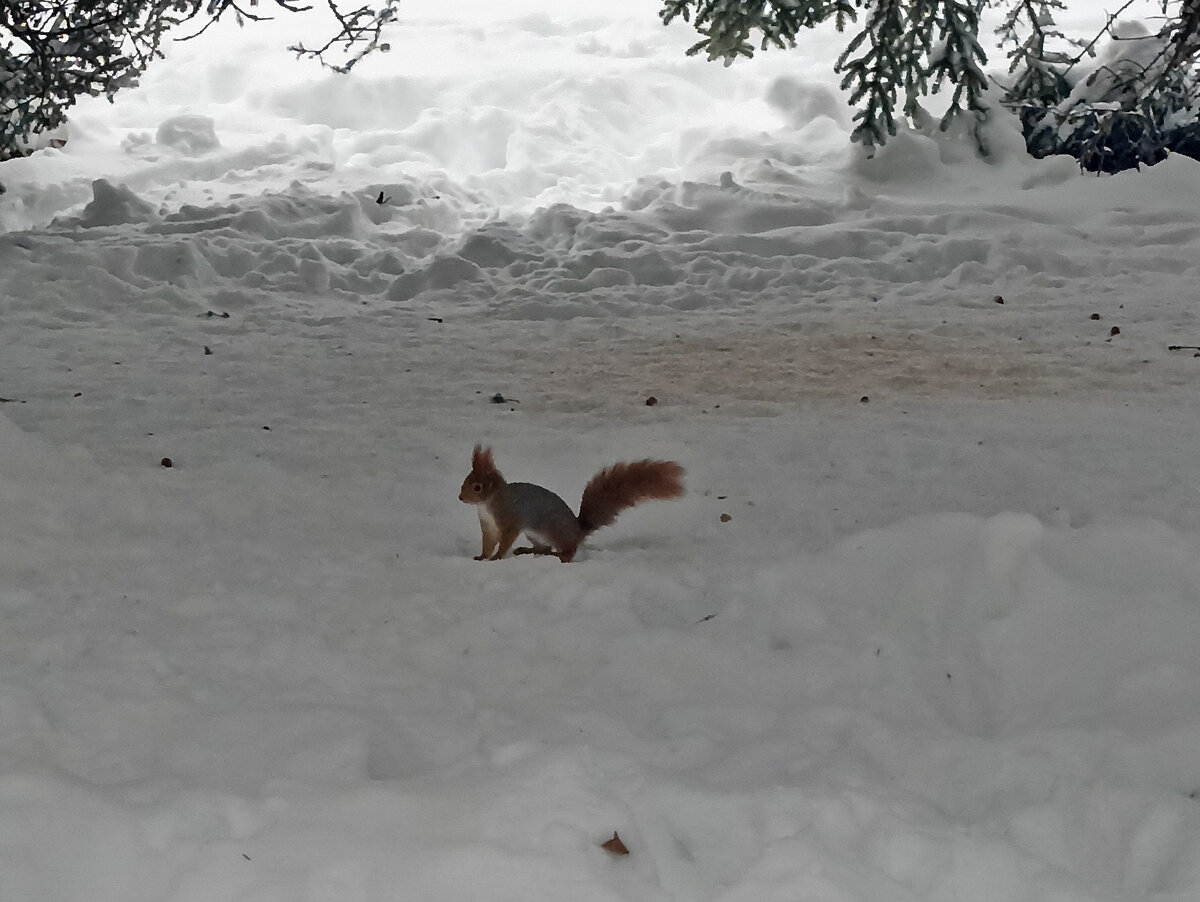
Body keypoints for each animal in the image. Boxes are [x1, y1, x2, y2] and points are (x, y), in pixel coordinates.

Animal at [458, 441, 686, 561]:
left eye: (477, 487)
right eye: (465, 481)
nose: (460, 498)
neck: (487, 503)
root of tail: (578, 531)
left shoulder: (510, 520)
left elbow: (505, 540)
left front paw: (496, 557)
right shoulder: (488, 526)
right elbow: (488, 542)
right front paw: (481, 557)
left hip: (551, 528)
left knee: (568, 551)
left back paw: (558, 556)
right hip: (536, 534)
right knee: (545, 548)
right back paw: (529, 551)